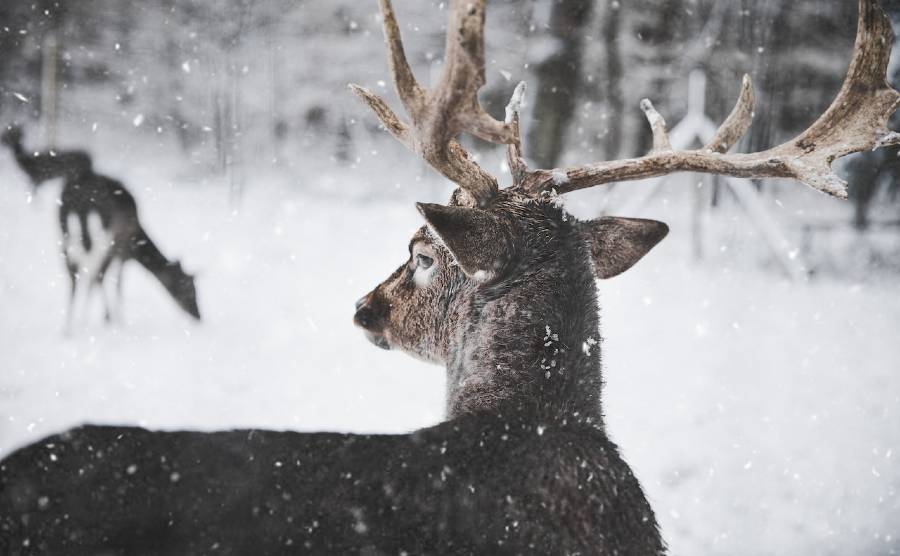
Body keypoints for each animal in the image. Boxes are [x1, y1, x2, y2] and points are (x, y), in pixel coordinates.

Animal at [1, 125, 201, 331]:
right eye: (189, 288)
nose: (198, 316)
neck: (138, 240)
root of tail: (79, 202)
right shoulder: (122, 249)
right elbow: (115, 281)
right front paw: (115, 319)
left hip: (65, 231)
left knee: (74, 274)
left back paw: (69, 327)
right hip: (101, 236)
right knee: (92, 273)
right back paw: (88, 321)